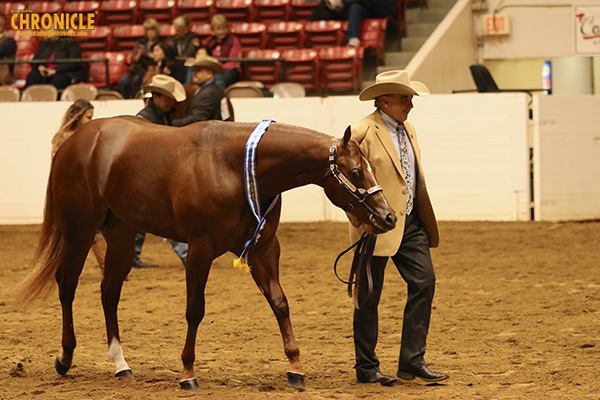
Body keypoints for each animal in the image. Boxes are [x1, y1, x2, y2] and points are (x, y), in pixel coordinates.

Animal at [18, 115, 396, 390]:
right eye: (356, 172)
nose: (388, 217)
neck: (235, 167)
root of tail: (76, 140)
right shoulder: (199, 248)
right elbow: (194, 310)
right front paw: (187, 372)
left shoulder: (263, 248)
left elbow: (280, 303)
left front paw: (295, 366)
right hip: (79, 231)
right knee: (67, 285)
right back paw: (65, 358)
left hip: (121, 234)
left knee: (109, 292)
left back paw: (121, 363)